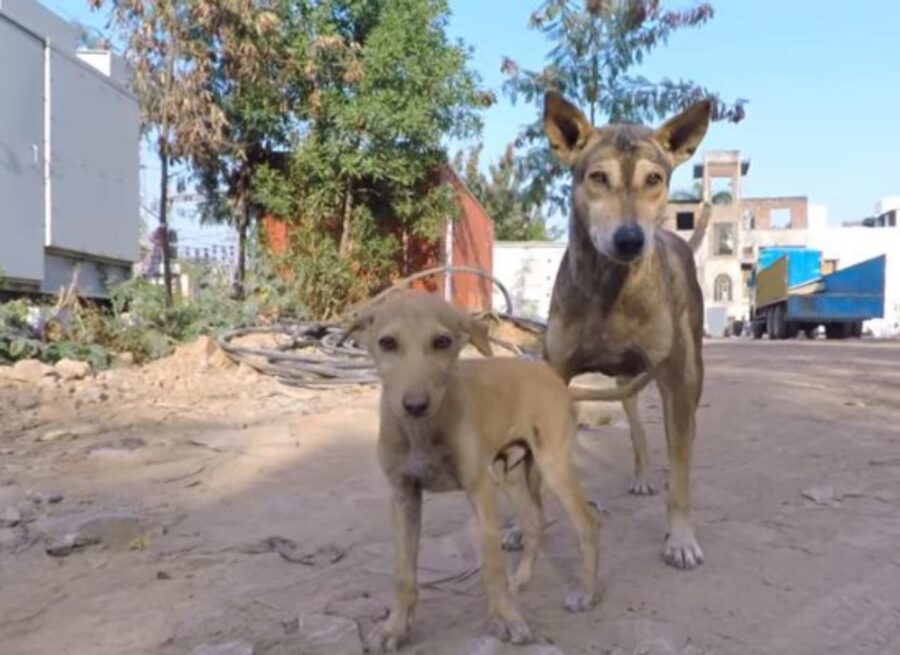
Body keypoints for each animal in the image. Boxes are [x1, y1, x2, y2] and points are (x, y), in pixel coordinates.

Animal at [348, 294, 600, 652]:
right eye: (387, 343)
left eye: (442, 342)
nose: (415, 405)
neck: (423, 432)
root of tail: (548, 372)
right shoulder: (403, 495)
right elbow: (403, 573)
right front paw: (393, 628)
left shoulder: (479, 489)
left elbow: (492, 565)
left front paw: (506, 618)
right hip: (509, 475)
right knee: (534, 522)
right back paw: (521, 579)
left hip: (552, 465)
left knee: (587, 523)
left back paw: (586, 592)